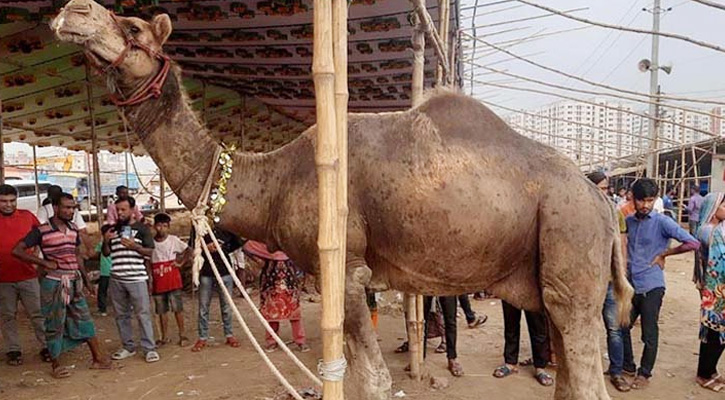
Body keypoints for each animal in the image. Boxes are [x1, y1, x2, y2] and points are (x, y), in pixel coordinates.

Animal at [49, 1, 632, 398]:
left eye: (132, 28)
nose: (72, 10)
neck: (276, 177)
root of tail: (601, 203)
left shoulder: (346, 267)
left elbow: (371, 380)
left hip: (569, 240)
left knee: (582, 364)